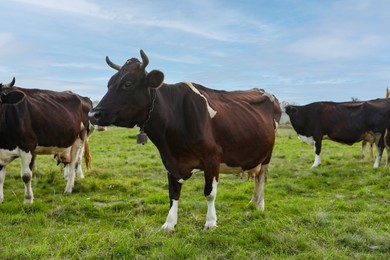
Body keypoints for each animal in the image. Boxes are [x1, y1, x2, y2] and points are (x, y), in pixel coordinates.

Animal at [88, 49, 280, 232]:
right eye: (109, 84)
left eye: (128, 83)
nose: (93, 114)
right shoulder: (170, 161)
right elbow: (173, 193)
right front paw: (169, 224)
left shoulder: (212, 158)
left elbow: (209, 193)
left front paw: (211, 222)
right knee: (256, 179)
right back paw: (253, 203)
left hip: (267, 155)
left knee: (261, 179)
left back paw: (260, 206)